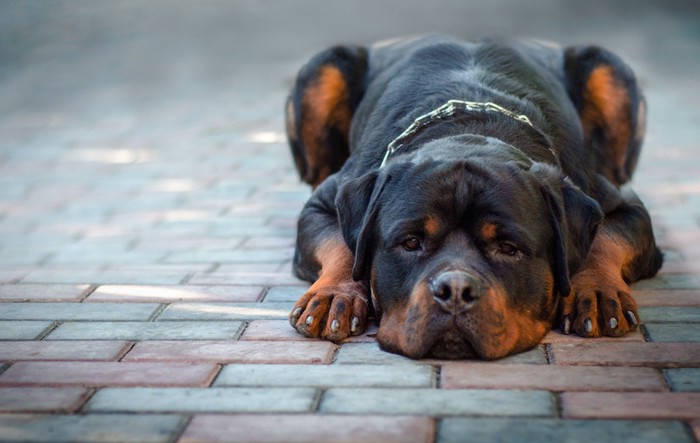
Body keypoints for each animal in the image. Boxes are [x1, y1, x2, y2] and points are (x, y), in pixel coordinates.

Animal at [284, 34, 660, 360]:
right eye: (410, 242)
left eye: (508, 248)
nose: (455, 290)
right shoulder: (326, 200)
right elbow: (343, 244)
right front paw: (336, 293)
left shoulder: (621, 203)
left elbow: (604, 239)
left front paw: (595, 290)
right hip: (323, 70)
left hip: (607, 69)